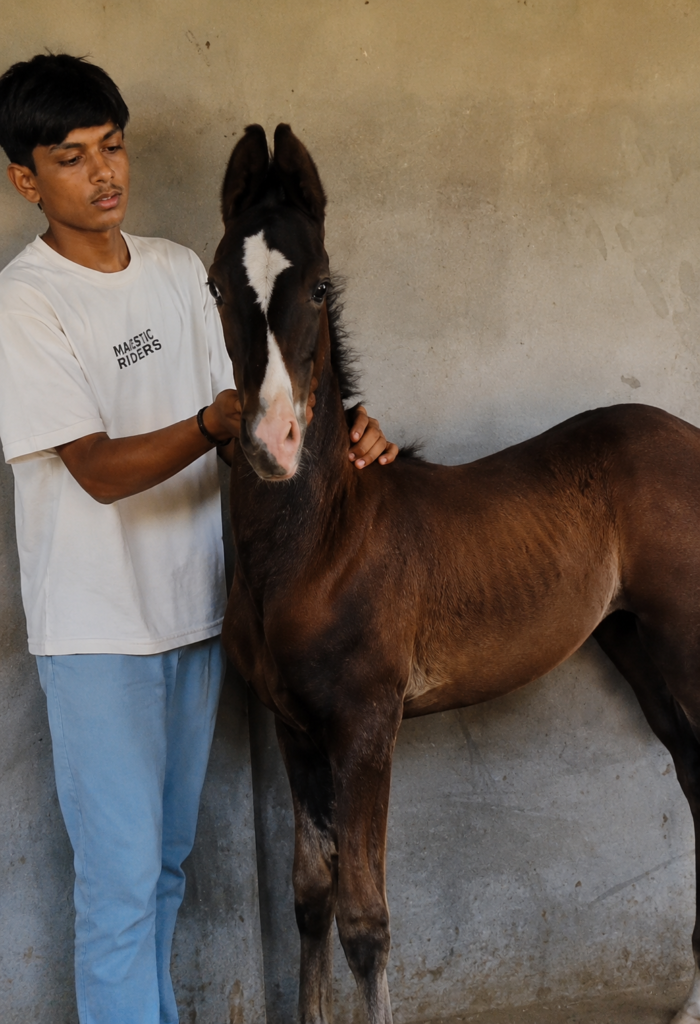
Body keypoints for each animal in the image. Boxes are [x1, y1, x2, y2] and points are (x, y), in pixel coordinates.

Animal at [210, 122, 700, 1024]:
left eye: (322, 285)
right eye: (218, 285)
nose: (270, 445)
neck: (320, 546)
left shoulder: (367, 726)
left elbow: (365, 922)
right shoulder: (296, 728)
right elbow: (310, 895)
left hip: (686, 646)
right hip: (636, 647)